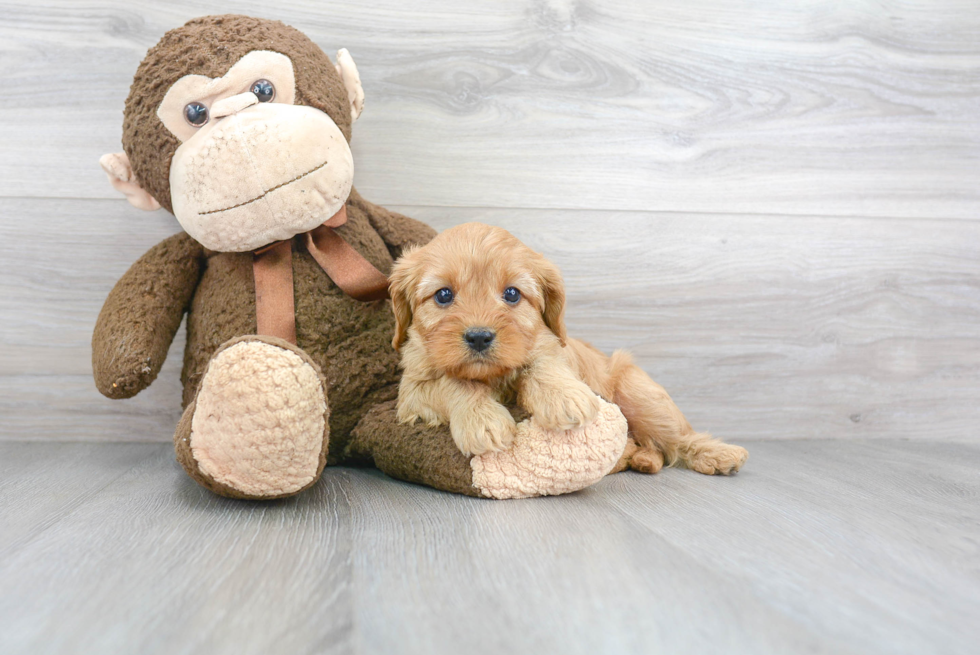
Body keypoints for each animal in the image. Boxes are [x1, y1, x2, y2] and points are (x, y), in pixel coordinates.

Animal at [386, 222, 748, 476]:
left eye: (512, 294)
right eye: (443, 295)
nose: (478, 337)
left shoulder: (552, 345)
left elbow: (542, 364)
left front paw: (562, 398)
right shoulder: (411, 393)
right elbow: (453, 382)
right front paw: (482, 421)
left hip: (641, 396)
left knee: (675, 438)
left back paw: (719, 455)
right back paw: (638, 458)